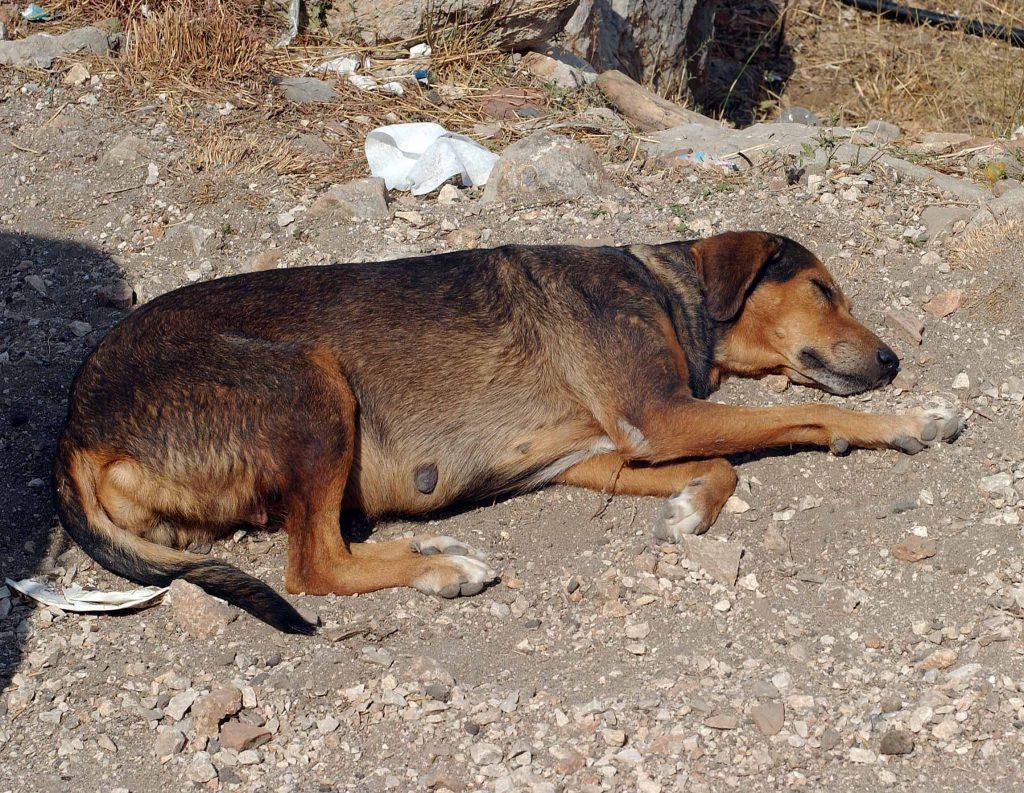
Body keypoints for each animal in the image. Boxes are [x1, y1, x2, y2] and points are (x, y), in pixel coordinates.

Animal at [51, 229, 962, 635]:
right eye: (822, 289)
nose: (891, 359)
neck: (666, 286)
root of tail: (75, 425)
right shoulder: (660, 416)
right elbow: (806, 414)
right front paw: (911, 419)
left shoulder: (596, 454)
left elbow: (722, 467)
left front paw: (689, 513)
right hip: (312, 378)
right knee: (315, 565)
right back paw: (440, 567)